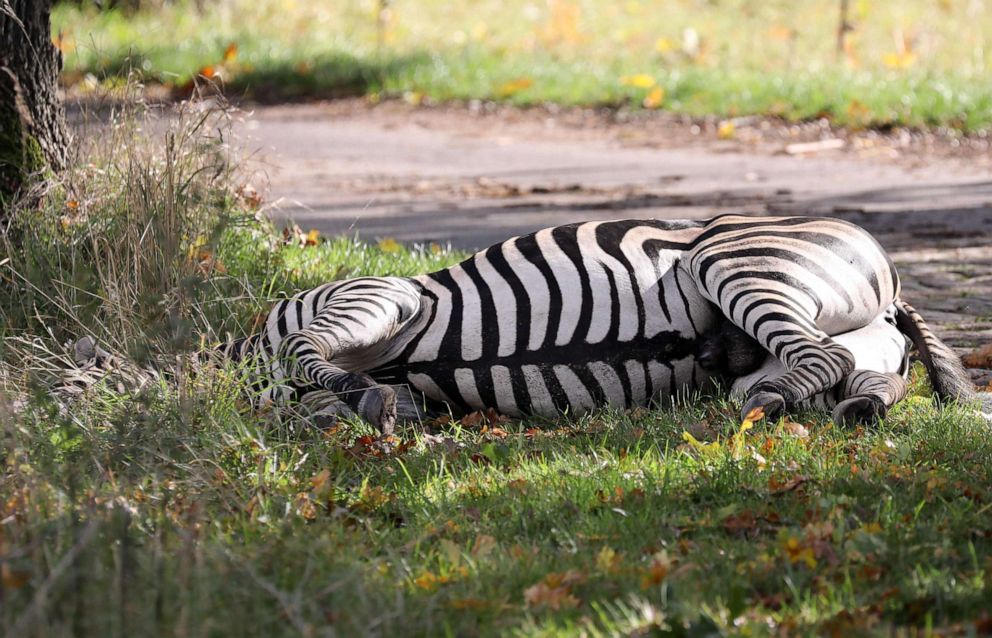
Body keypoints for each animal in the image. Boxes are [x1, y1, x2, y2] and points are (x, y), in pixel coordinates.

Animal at [209, 216, 976, 436]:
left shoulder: (381, 294)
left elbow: (307, 349)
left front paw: (354, 393)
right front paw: (363, 403)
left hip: (735, 259)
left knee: (817, 358)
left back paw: (771, 402)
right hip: (863, 348)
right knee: (861, 380)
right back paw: (851, 407)